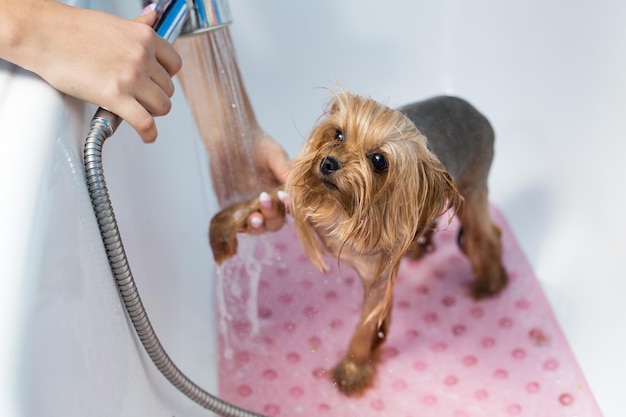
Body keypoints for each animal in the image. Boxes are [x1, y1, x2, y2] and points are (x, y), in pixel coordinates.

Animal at [207, 90, 504, 394]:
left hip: (472, 189)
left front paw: (352, 369)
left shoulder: (378, 281)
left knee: (487, 235)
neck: (344, 209)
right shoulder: (305, 197)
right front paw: (224, 227)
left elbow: (365, 326)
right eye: (338, 134)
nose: (328, 163)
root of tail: (477, 111)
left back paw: (491, 282)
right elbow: (269, 194)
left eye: (379, 160)